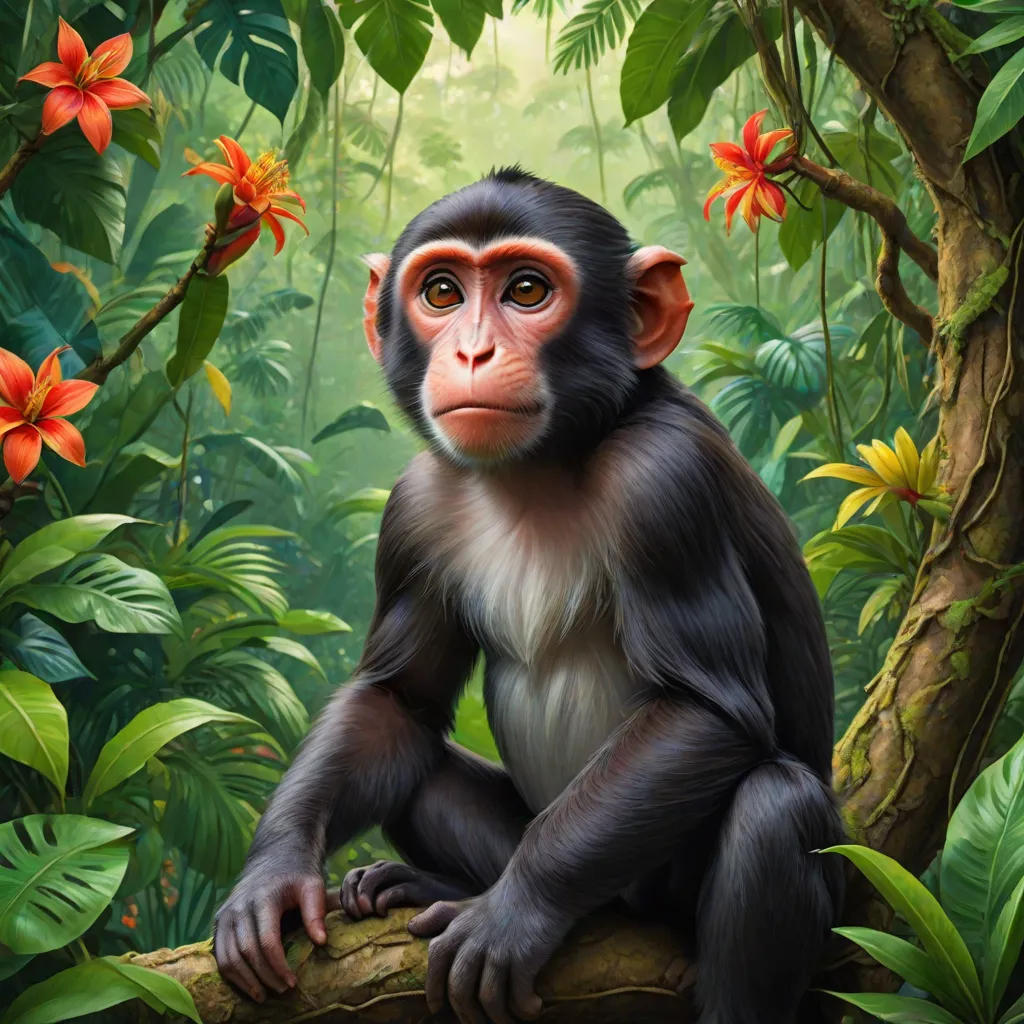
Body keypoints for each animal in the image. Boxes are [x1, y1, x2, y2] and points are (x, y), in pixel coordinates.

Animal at [213, 167, 845, 1024]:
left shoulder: (666, 480)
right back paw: (421, 883)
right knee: (416, 767)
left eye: (526, 290)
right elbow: (396, 700)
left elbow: (706, 708)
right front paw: (272, 875)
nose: (473, 350)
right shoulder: (414, 508)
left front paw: (513, 913)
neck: (543, 464)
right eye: (442, 292)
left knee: (776, 809)